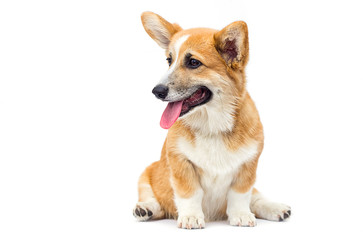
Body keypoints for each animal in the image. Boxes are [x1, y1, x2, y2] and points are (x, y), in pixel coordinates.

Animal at [132, 11, 292, 229]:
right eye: (169, 60)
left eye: (193, 63)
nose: (156, 91)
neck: (212, 124)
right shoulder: (181, 163)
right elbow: (190, 192)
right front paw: (191, 217)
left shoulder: (248, 166)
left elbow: (240, 195)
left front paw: (241, 215)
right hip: (147, 173)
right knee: (152, 198)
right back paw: (145, 208)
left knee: (256, 197)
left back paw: (277, 208)